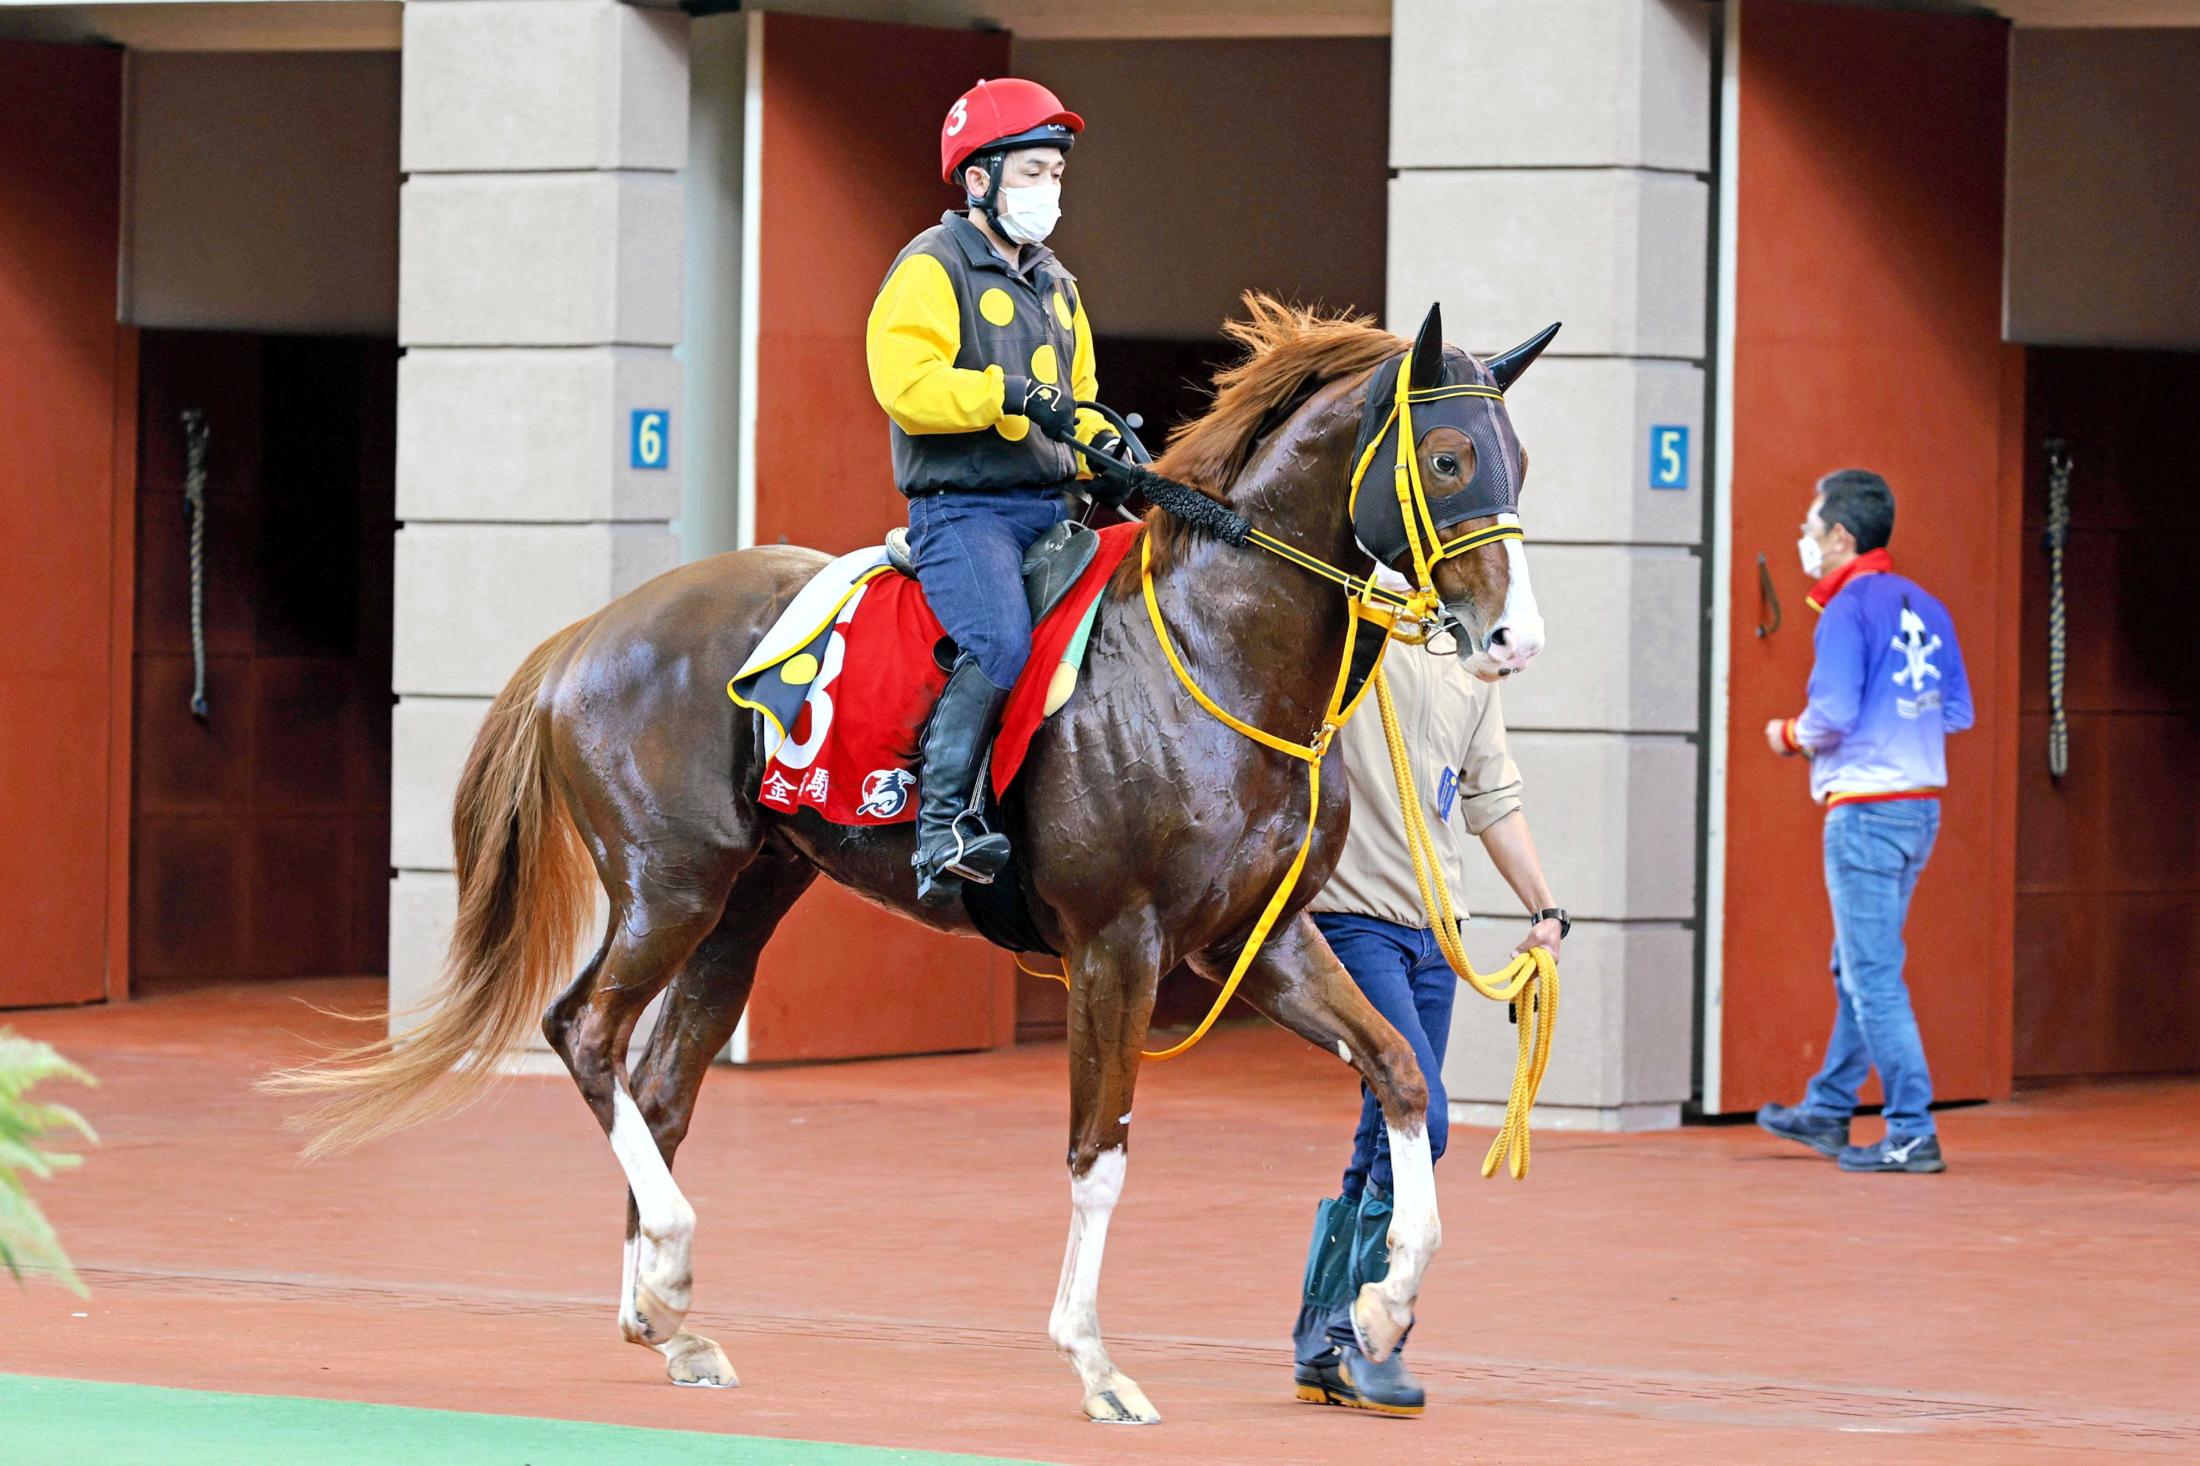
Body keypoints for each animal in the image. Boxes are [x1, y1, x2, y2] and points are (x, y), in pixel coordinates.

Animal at [270, 290, 1548, 1417]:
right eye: (1446, 459)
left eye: (1518, 459)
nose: (1511, 638)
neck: (1210, 651)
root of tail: (592, 631)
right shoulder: (1117, 947)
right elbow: (1099, 1148)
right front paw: (1094, 1360)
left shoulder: (1260, 937)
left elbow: (1399, 1071)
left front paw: (1382, 1305)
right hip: (667, 884)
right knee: (585, 1030)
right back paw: (669, 1261)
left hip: (748, 897)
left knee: (662, 1079)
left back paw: (668, 1317)